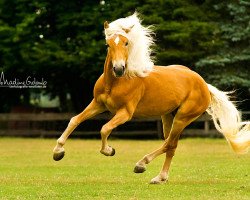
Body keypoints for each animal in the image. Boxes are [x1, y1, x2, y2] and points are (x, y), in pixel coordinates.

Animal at [53, 12, 250, 184]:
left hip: (182, 118)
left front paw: (109, 150)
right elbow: (74, 120)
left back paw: (141, 164)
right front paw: (58, 152)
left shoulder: (125, 113)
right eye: (108, 44)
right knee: (171, 146)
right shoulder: (98, 104)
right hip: (168, 116)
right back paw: (160, 178)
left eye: (126, 43)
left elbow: (104, 128)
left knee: (169, 144)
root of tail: (203, 84)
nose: (118, 68)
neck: (116, 82)